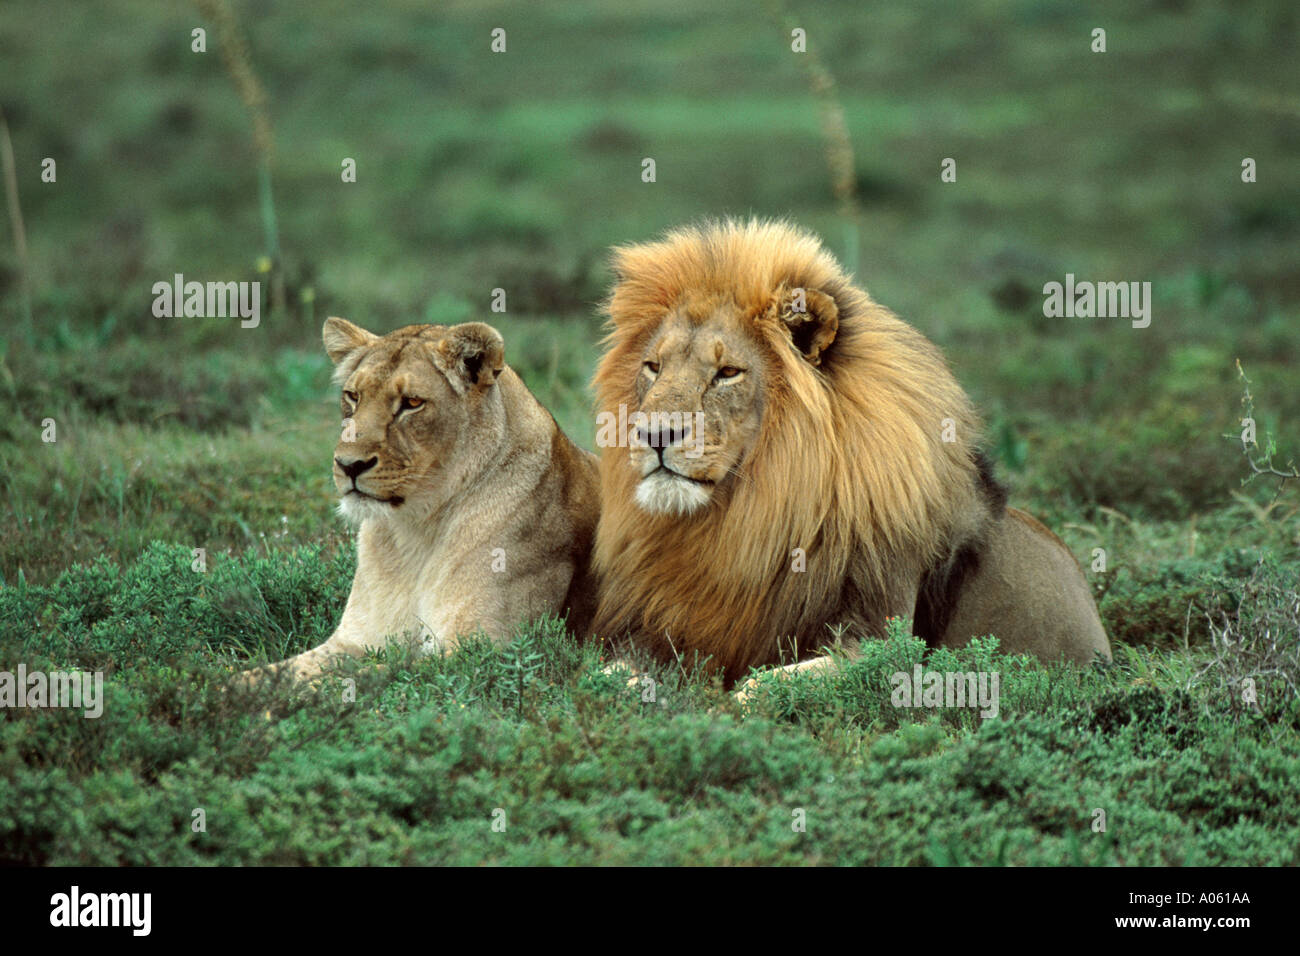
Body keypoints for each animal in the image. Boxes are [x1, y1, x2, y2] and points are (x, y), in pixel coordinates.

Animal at [243, 317, 598, 686]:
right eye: (353, 396)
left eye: (412, 403)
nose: (348, 464)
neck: (414, 531)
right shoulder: (353, 641)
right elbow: (271, 674)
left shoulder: (485, 653)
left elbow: (341, 682)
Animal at [590, 221, 1107, 691]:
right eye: (653, 367)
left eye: (728, 373)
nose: (652, 434)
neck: (747, 516)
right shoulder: (658, 623)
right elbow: (605, 672)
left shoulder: (884, 641)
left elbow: (764, 686)